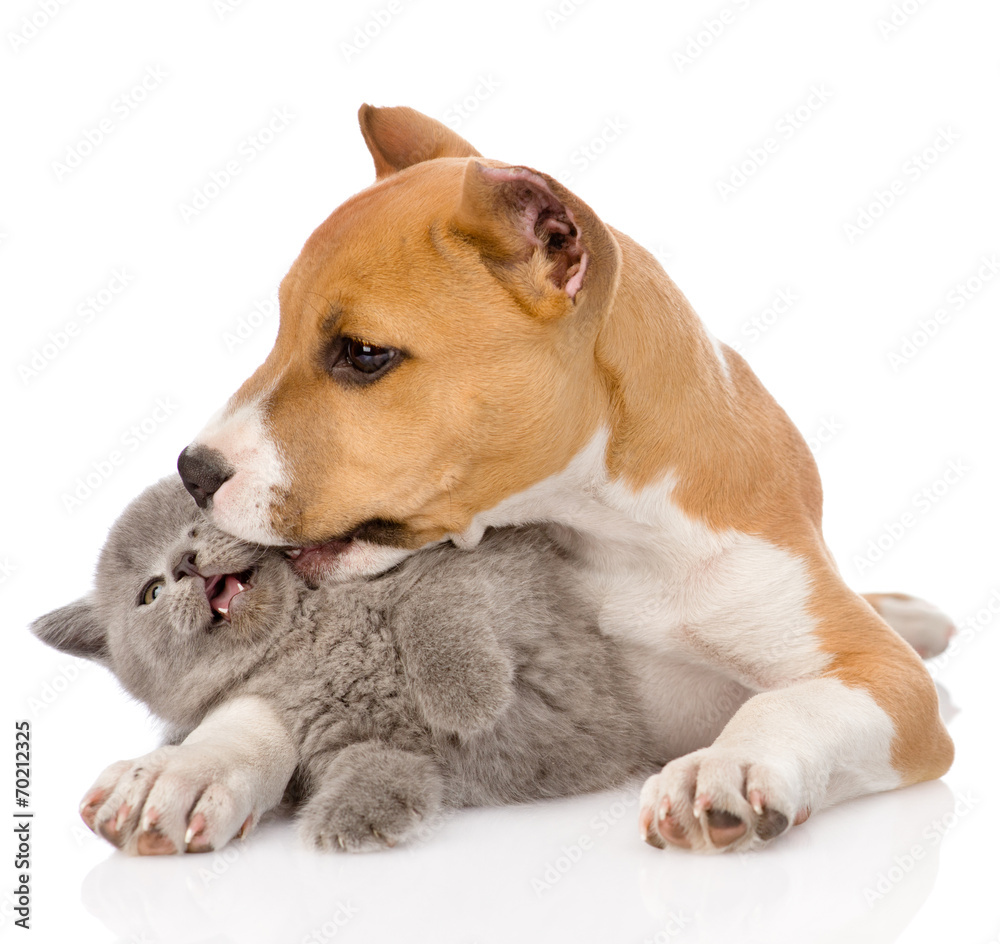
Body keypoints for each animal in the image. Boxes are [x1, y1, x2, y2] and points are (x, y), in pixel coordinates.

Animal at [31, 480, 652, 856]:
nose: (184, 563)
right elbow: (377, 758)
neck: (301, 631)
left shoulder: (500, 566)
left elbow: (432, 600)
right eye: (152, 592)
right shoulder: (325, 727)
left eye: (194, 528)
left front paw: (466, 696)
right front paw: (355, 815)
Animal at [176, 107, 956, 852]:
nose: (191, 471)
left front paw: (723, 766)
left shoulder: (882, 677)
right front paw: (198, 764)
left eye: (364, 353)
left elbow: (785, 701)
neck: (608, 530)